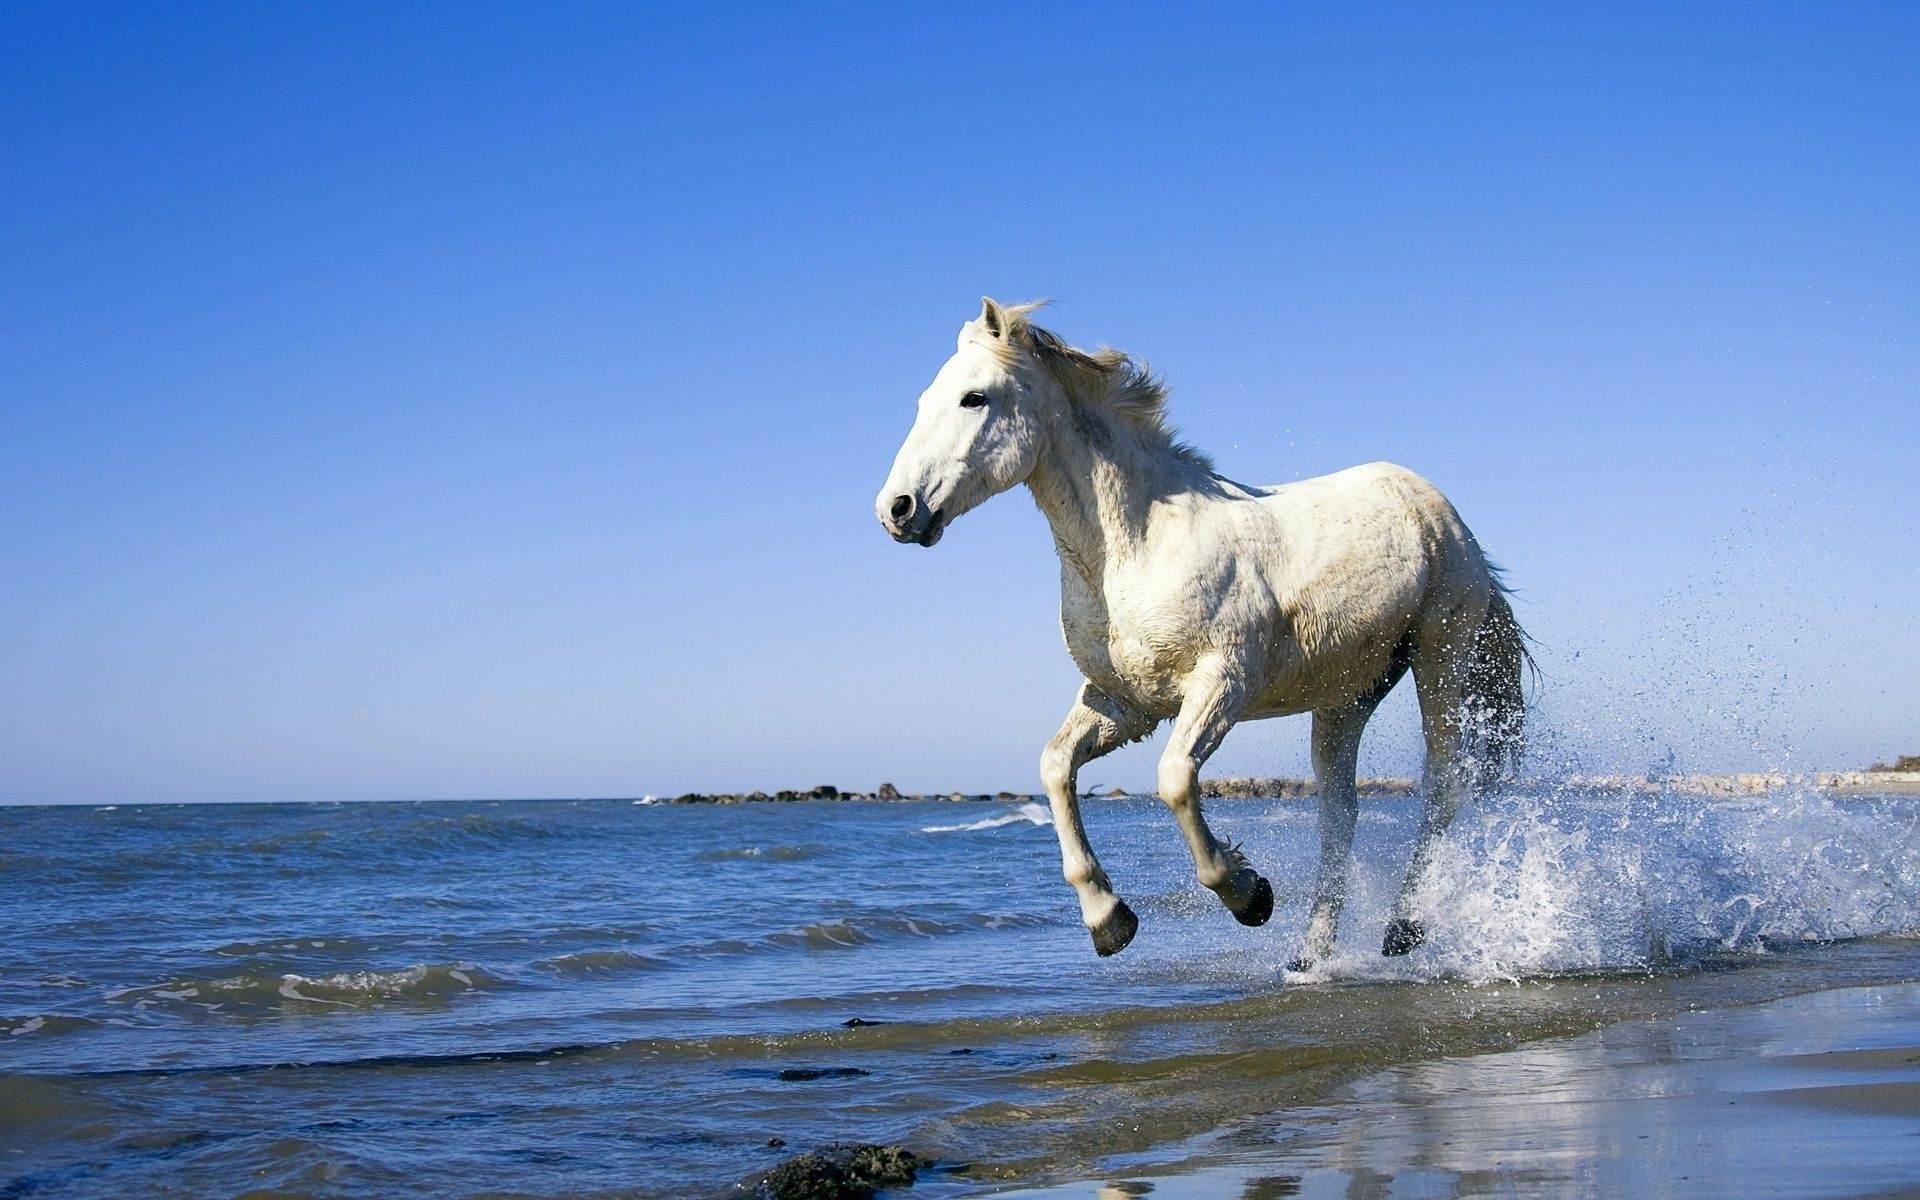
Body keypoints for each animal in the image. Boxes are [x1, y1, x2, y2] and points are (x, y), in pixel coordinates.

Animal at [875, 298, 1528, 968]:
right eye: (926, 400)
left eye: (974, 398)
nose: (897, 509)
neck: (1136, 546)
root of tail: (1437, 508)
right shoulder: (1124, 702)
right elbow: (1055, 767)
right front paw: (1109, 921)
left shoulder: (1221, 683)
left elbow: (1174, 780)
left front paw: (1250, 896)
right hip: (1345, 696)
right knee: (1339, 815)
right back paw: (1309, 955)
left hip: (1441, 656)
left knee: (1443, 784)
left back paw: (1402, 927)